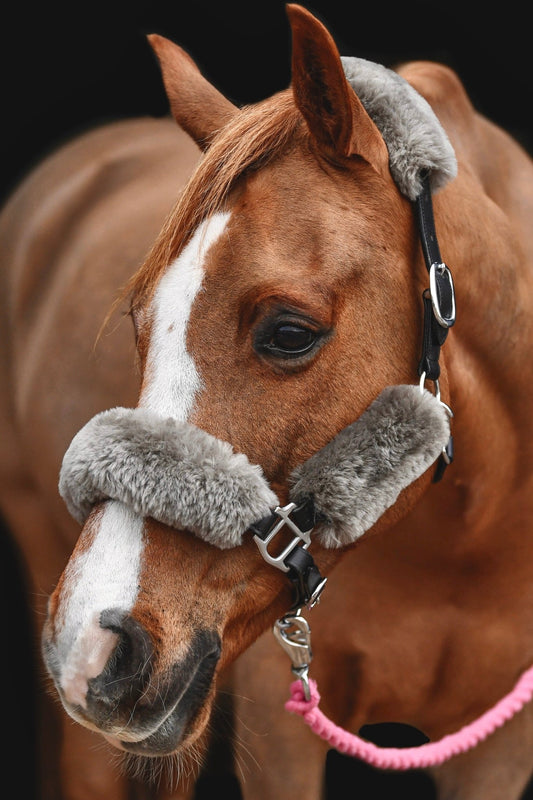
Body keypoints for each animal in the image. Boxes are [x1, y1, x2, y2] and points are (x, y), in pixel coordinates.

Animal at [1, 3, 532, 796]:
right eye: (138, 324)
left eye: (289, 332)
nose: (91, 644)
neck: (466, 544)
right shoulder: (279, 730)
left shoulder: (500, 748)